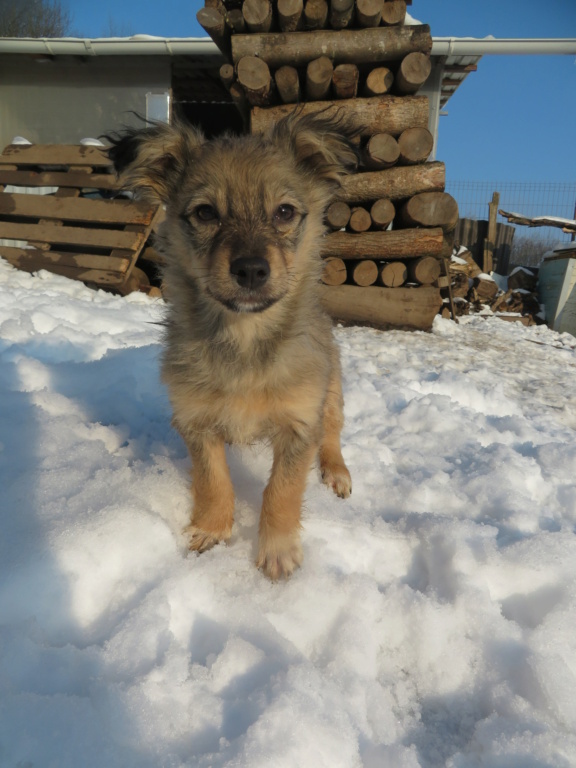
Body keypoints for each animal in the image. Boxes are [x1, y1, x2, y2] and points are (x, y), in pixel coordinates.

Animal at [107, 111, 358, 580]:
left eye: (284, 212)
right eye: (205, 213)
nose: (251, 270)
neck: (245, 337)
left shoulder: (300, 421)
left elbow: (282, 488)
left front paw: (277, 551)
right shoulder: (195, 419)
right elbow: (213, 479)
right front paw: (211, 529)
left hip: (331, 391)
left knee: (332, 432)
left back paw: (336, 472)